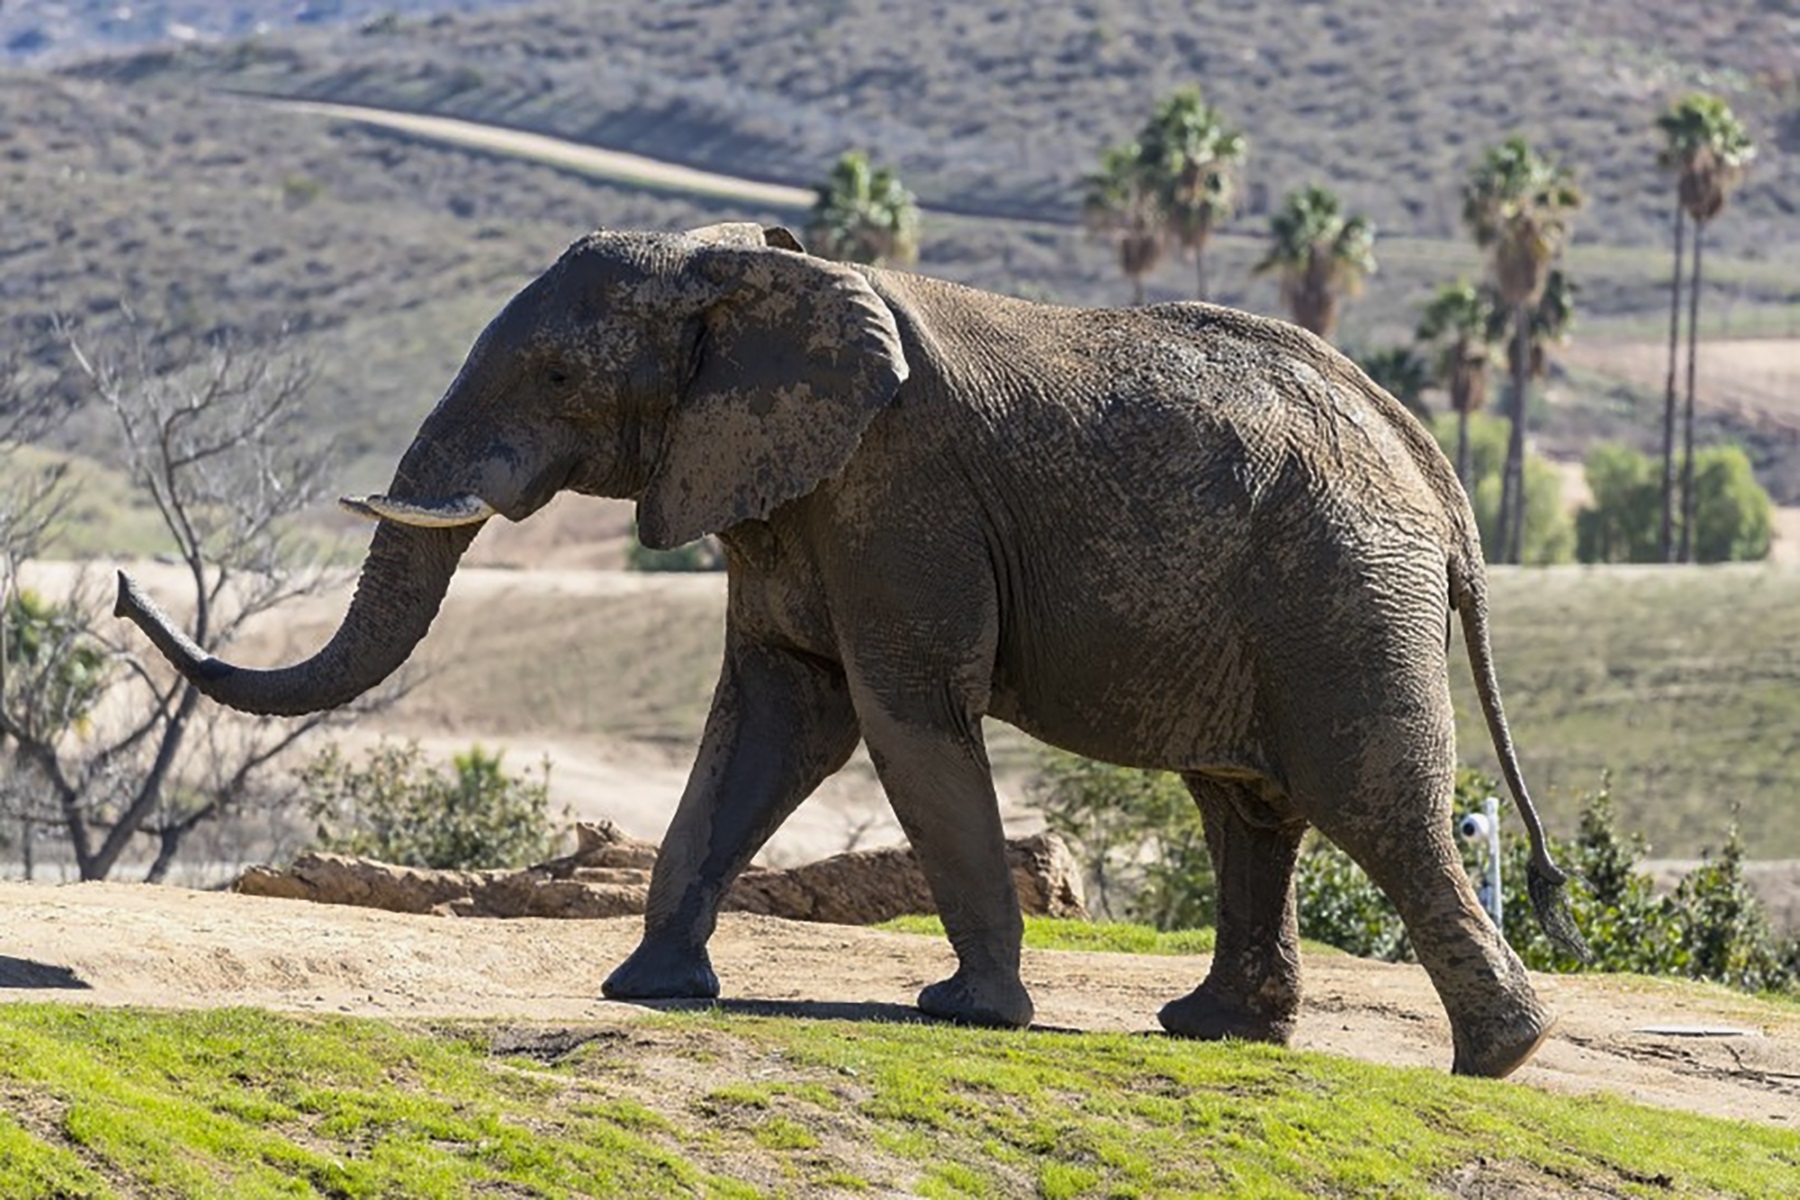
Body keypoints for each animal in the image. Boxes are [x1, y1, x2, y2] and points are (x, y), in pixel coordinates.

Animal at [118, 222, 1586, 1078]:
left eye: (558, 380)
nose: (126, 590)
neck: (746, 274)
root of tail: (1439, 480)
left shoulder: (897, 493)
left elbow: (899, 711)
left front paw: (967, 1014)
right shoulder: (784, 487)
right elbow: (777, 713)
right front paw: (651, 988)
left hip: (1341, 596)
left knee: (1368, 801)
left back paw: (1499, 1060)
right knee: (1249, 806)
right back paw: (1219, 1031)